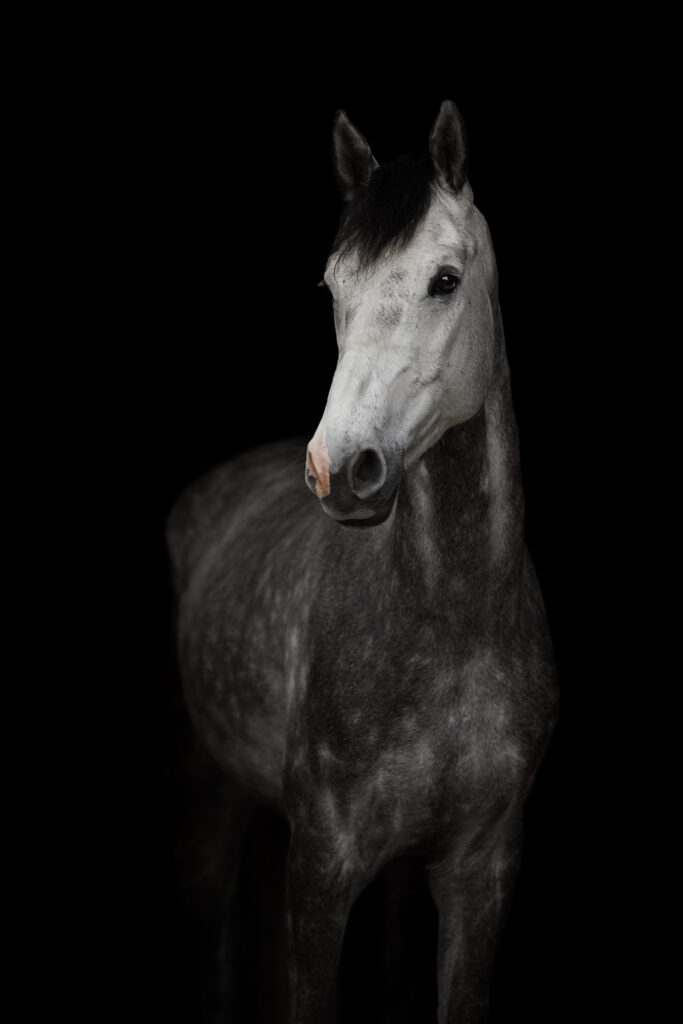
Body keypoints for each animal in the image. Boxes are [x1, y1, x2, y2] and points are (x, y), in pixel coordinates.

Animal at [166, 100, 559, 1024]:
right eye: (332, 288)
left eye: (444, 280)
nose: (340, 469)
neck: (452, 620)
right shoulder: (320, 874)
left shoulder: (480, 873)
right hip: (208, 792)